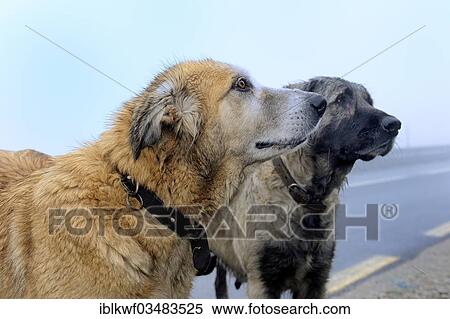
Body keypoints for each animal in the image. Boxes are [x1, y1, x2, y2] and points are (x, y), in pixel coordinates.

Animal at [211, 77, 400, 300]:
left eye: (369, 101)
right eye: (341, 99)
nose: (395, 125)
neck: (301, 193)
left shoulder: (316, 280)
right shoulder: (263, 283)